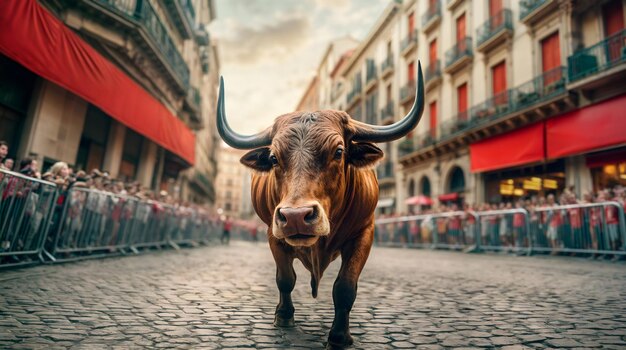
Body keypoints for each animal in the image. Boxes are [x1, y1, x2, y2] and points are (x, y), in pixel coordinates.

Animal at [214, 63, 424, 348]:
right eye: (273, 157)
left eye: (338, 151)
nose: (295, 216)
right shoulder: (273, 234)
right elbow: (285, 278)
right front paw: (284, 316)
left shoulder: (364, 234)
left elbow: (345, 287)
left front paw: (339, 336)